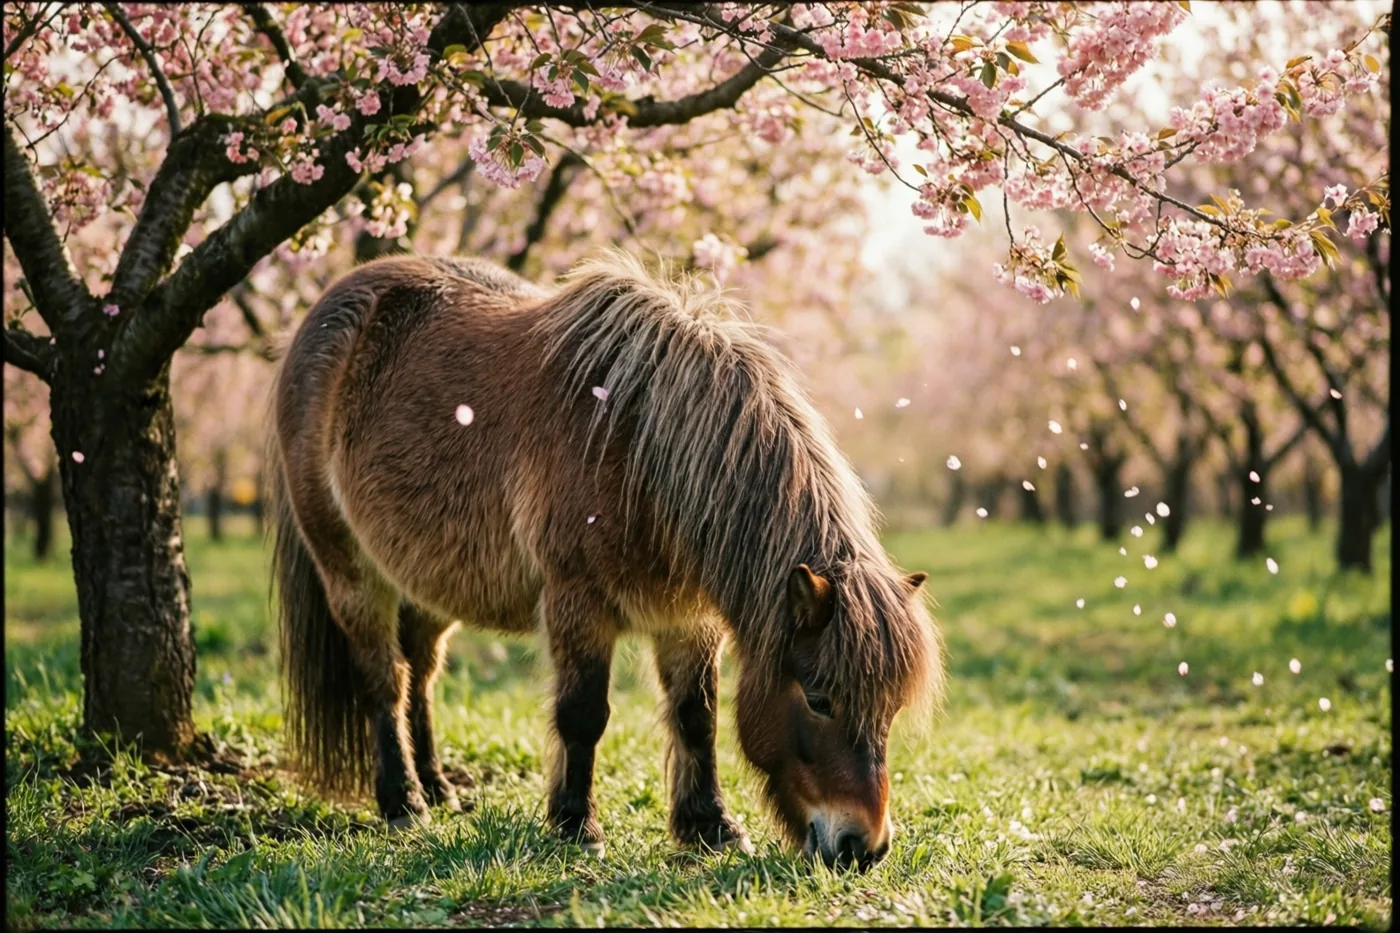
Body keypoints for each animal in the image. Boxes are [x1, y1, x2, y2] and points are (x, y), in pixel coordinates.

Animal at [265, 251, 942, 870]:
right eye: (820, 698)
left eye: (890, 708)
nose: (864, 847)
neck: (639, 447)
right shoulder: (578, 604)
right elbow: (582, 715)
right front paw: (574, 826)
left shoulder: (687, 619)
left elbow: (696, 717)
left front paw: (710, 826)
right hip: (352, 574)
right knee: (385, 680)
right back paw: (403, 800)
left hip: (429, 583)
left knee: (422, 676)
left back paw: (438, 786)